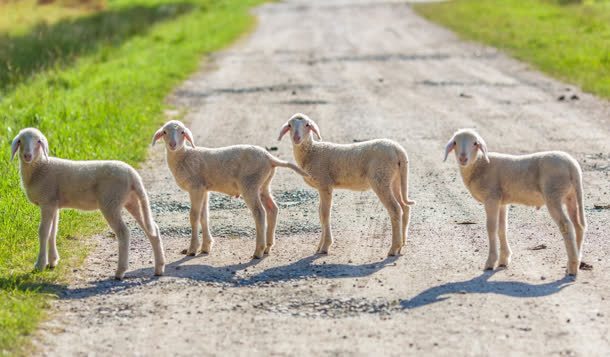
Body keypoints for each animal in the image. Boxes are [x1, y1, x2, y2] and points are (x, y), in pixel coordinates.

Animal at [10, 127, 165, 278]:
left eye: (38, 141)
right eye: (20, 141)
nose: (27, 156)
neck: (40, 167)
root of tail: (133, 175)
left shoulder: (46, 202)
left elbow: (43, 232)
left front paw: (39, 265)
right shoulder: (53, 204)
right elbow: (53, 232)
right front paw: (53, 261)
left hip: (111, 202)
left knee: (124, 233)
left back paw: (120, 271)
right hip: (131, 201)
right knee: (152, 229)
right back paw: (159, 267)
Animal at [278, 112, 416, 254]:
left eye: (307, 125)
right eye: (289, 125)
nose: (296, 138)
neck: (312, 151)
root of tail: (398, 150)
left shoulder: (324, 184)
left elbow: (325, 214)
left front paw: (325, 246)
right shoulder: (321, 186)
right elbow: (320, 214)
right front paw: (320, 246)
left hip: (381, 178)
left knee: (395, 209)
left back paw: (394, 248)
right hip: (395, 178)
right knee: (404, 206)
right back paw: (402, 243)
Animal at [442, 128, 584, 276]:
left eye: (475, 143)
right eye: (455, 142)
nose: (463, 158)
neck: (479, 164)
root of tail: (573, 166)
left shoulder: (491, 198)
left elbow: (491, 228)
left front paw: (491, 262)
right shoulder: (502, 202)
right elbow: (502, 228)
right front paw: (503, 260)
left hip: (553, 193)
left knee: (566, 226)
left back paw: (572, 268)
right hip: (571, 196)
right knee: (578, 226)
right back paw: (575, 261)